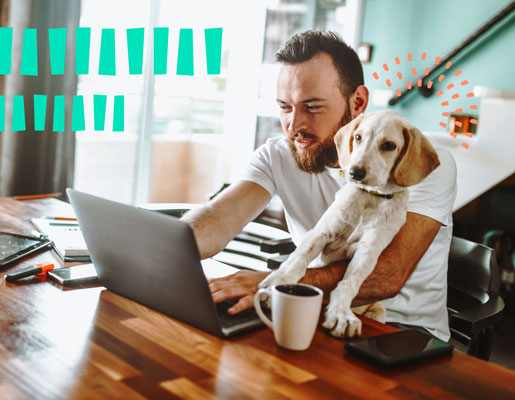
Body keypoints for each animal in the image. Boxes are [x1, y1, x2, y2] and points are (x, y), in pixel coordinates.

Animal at [260, 109, 442, 338]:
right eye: (357, 137)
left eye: (389, 145)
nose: (355, 172)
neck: (371, 197)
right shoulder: (320, 233)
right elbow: (296, 261)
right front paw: (277, 283)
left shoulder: (368, 252)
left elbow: (350, 283)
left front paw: (340, 313)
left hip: (378, 310)